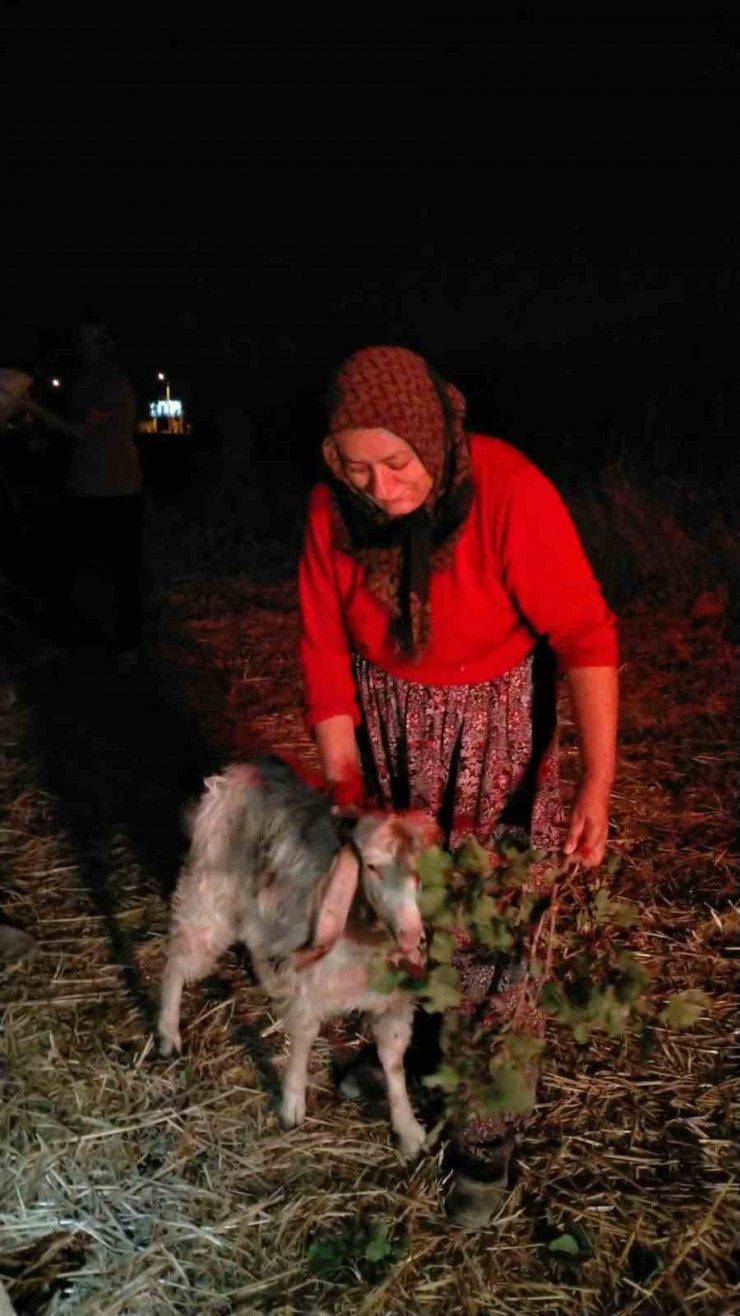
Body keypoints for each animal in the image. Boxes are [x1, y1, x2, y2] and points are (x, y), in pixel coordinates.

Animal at [155, 758, 431, 1158]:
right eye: (372, 867)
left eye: (420, 873)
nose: (412, 935)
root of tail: (231, 776)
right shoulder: (311, 983)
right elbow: (303, 1037)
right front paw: (292, 1104)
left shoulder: (392, 994)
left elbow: (393, 1060)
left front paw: (408, 1129)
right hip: (211, 892)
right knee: (179, 957)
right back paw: (168, 1032)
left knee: (253, 936)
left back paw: (270, 981)